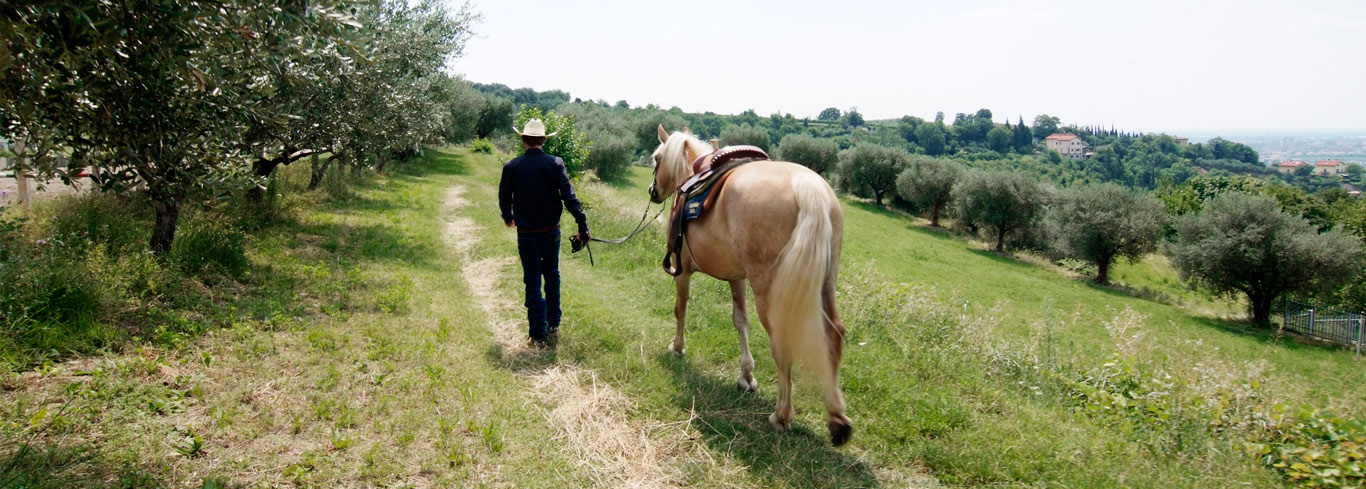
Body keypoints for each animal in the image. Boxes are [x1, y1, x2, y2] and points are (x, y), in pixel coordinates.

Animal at [644, 126, 846, 448]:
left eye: (657, 158)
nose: (653, 191)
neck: (690, 174)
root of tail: (807, 187)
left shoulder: (682, 270)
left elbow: (680, 308)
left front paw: (678, 347)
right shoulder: (737, 277)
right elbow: (741, 321)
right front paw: (746, 376)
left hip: (770, 292)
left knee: (783, 343)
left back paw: (782, 415)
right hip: (826, 284)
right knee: (834, 334)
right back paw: (837, 419)